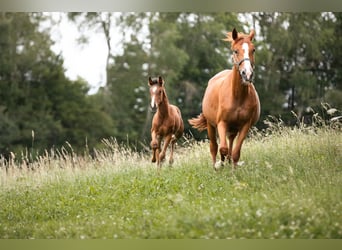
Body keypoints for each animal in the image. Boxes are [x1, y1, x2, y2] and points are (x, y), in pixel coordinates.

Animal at [188, 28, 260, 170]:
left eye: (253, 49)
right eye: (235, 51)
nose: (247, 74)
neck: (237, 97)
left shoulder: (245, 125)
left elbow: (236, 152)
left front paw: (233, 169)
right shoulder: (222, 123)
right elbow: (222, 149)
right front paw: (219, 165)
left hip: (233, 129)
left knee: (231, 144)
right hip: (211, 125)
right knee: (214, 147)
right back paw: (216, 165)